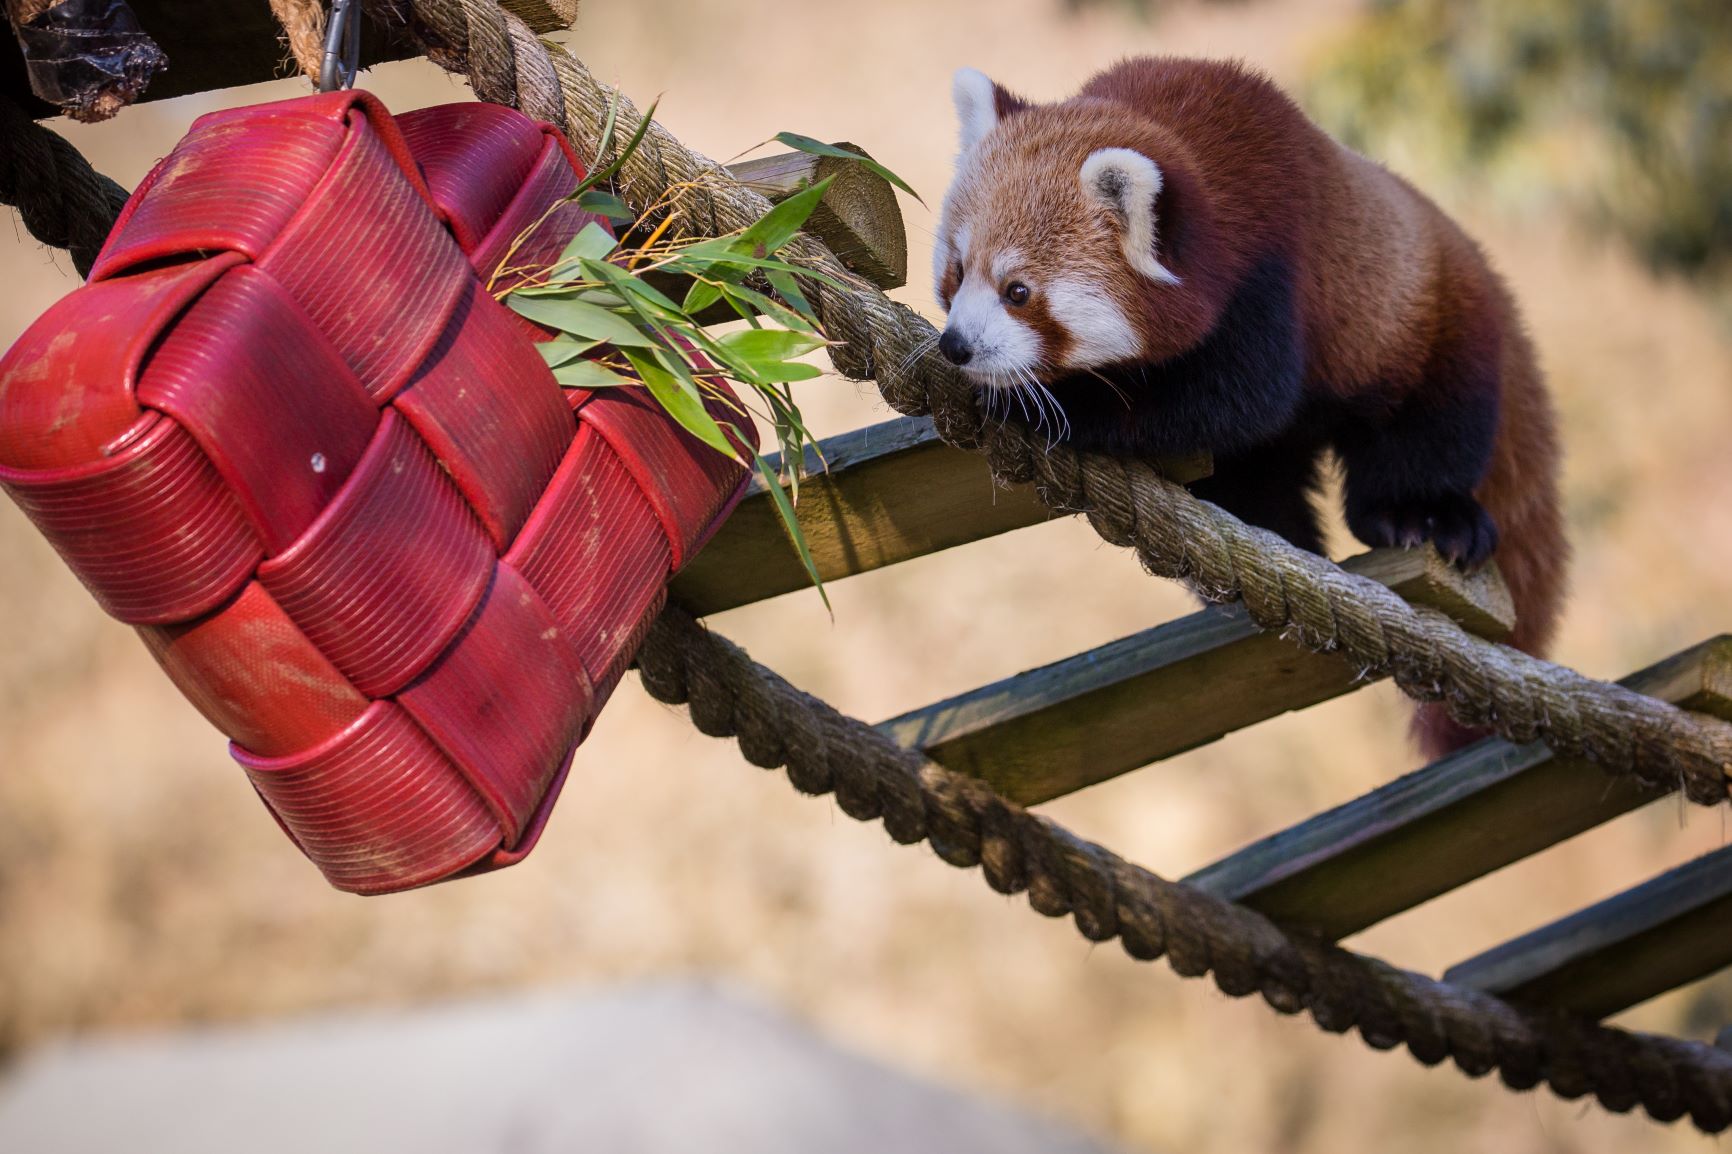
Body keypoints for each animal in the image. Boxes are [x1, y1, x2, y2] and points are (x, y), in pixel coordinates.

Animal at [935, 58, 1572, 755]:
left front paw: (1057, 402)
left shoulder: (1272, 275)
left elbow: (1238, 401)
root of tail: (1467, 248)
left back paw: (1423, 517)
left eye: (1018, 292)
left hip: (1431, 325)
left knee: (1431, 430)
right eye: (958, 270)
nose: (956, 345)